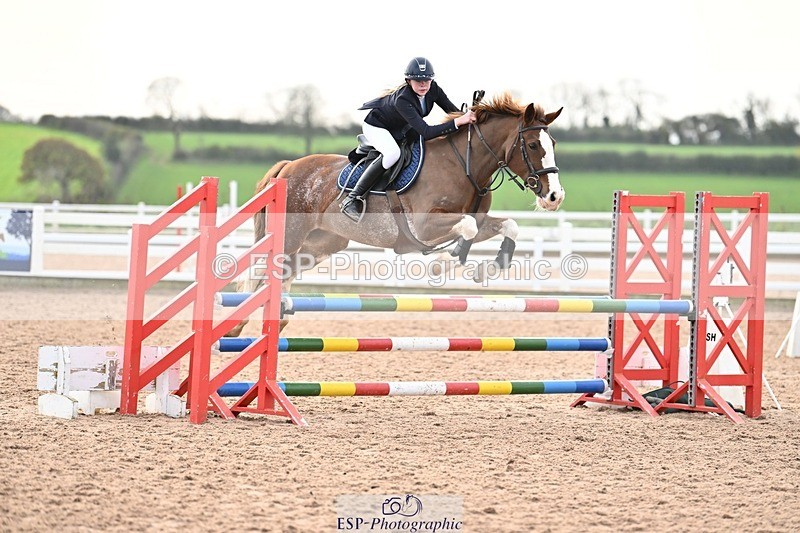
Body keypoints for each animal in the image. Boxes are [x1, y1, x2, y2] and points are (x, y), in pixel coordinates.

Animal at [228, 93, 563, 336]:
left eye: (553, 143)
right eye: (532, 145)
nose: (555, 197)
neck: (466, 166)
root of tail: (288, 167)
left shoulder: (478, 222)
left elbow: (507, 226)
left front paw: (489, 269)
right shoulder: (425, 226)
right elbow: (466, 227)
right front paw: (442, 264)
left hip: (322, 243)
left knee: (285, 270)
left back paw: (277, 319)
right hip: (290, 236)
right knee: (262, 271)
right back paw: (236, 325)